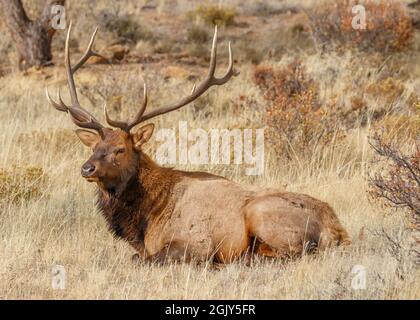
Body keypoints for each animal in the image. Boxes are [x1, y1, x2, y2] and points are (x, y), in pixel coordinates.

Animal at [45, 23, 352, 264]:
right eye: (94, 147)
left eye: (120, 149)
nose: (87, 168)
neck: (145, 217)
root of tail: (337, 229)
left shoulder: (196, 242)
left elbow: (145, 259)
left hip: (261, 213)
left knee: (289, 254)